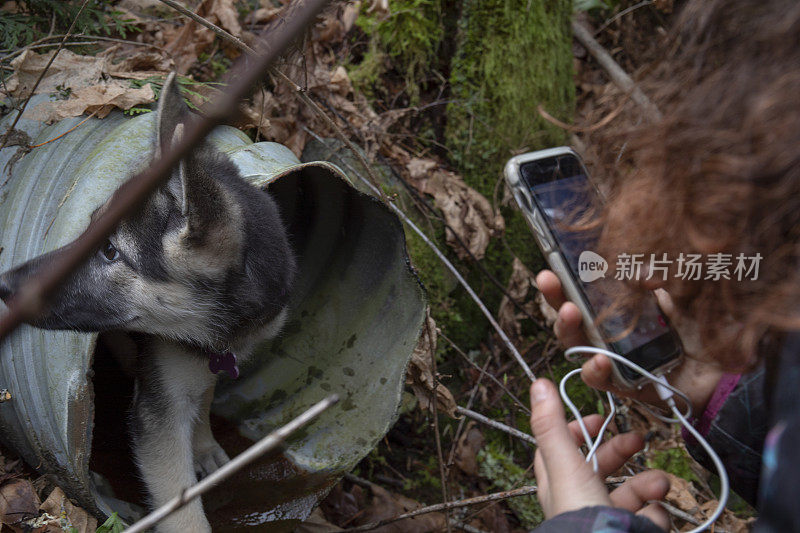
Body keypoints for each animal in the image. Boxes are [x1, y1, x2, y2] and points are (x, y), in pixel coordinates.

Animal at [0, 72, 296, 528]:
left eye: (110, 251)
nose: (5, 286)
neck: (221, 326)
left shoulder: (207, 358)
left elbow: (203, 393)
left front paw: (203, 444)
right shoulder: (159, 417)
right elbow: (184, 514)